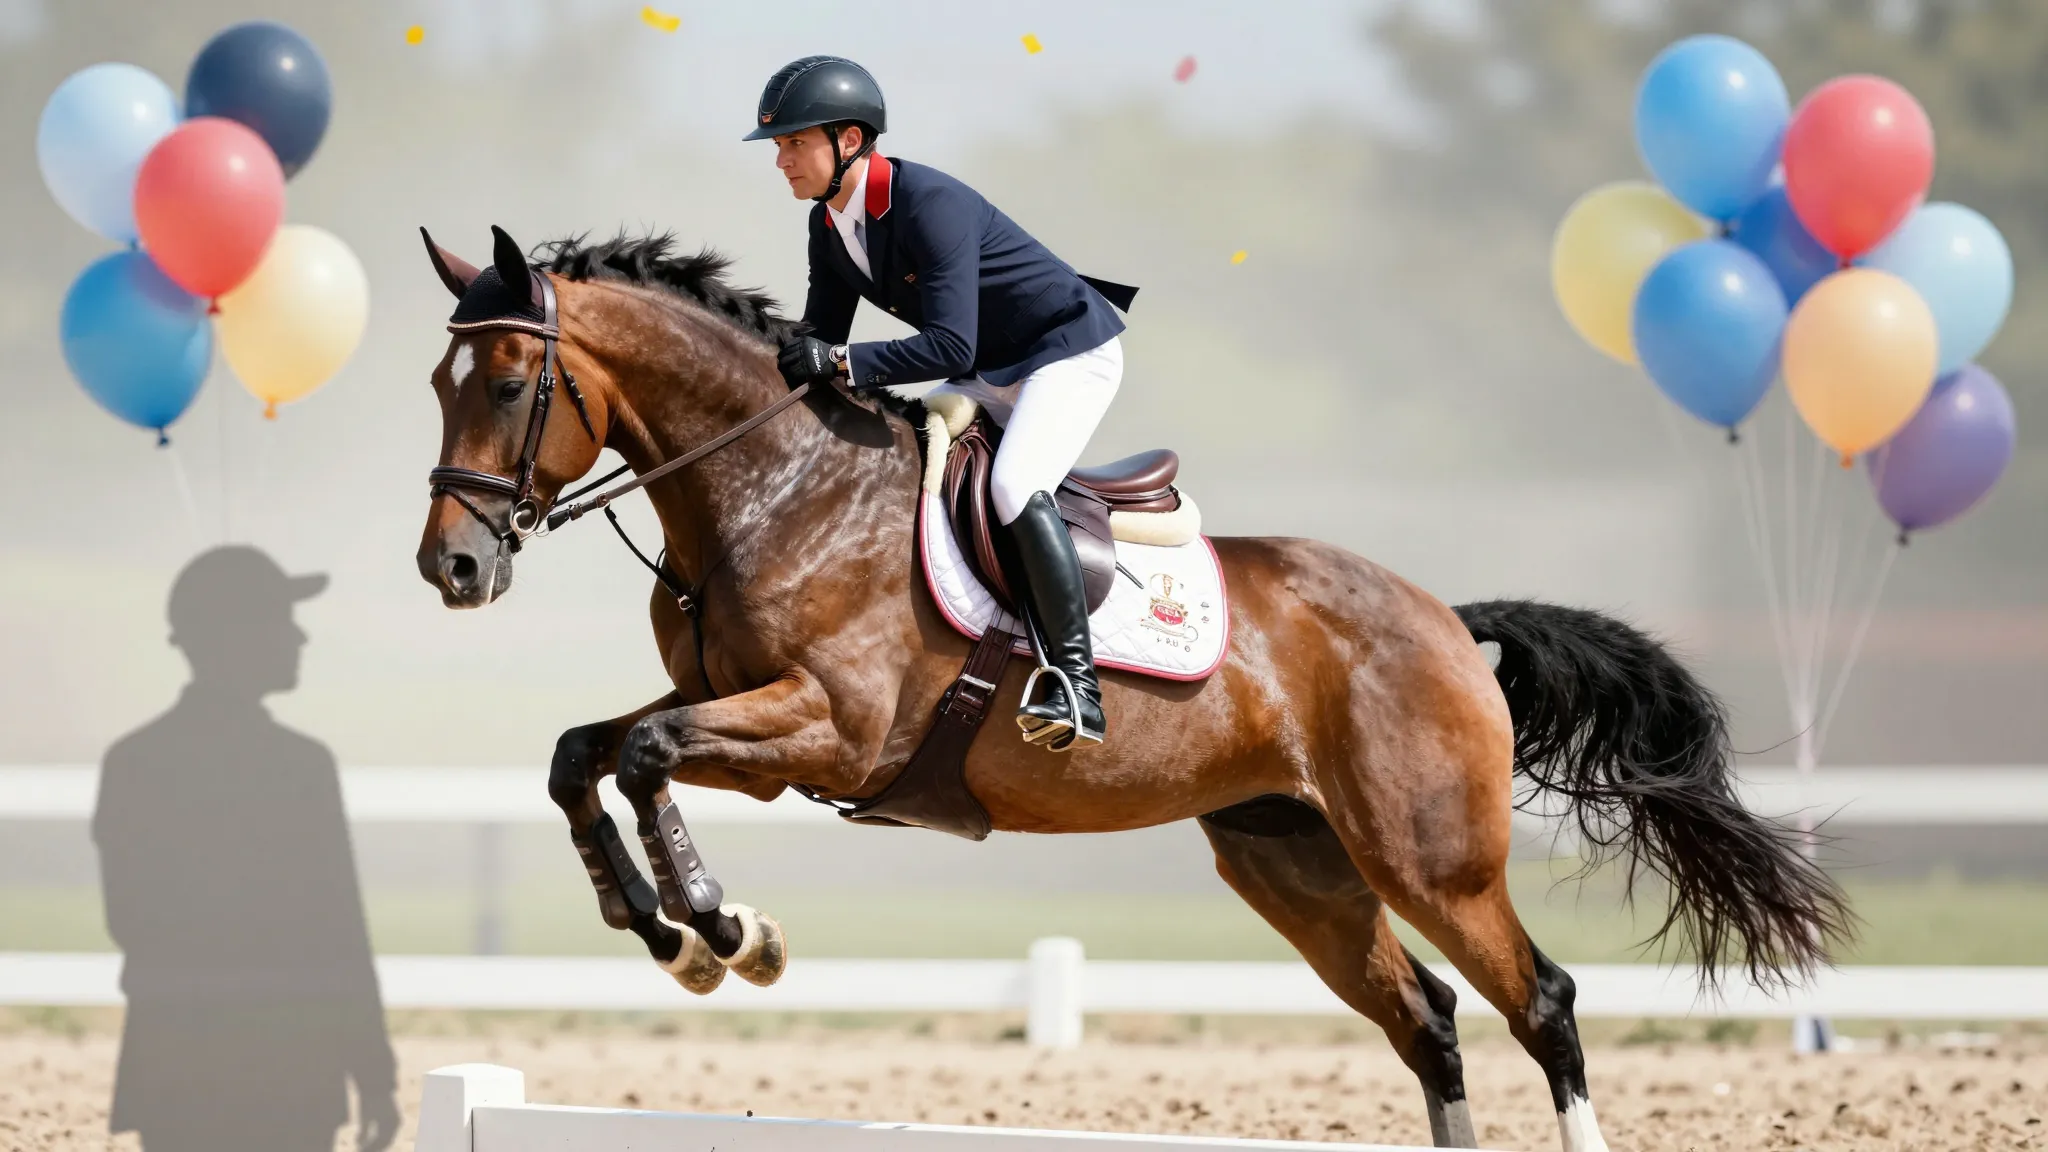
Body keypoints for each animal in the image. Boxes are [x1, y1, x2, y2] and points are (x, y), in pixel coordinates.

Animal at [412, 225, 1850, 1152]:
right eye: (439, 380)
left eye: (510, 381)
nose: (452, 565)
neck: (775, 491)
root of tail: (1446, 619)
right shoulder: (746, 718)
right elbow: (587, 753)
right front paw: (659, 927)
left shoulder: (828, 733)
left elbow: (645, 754)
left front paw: (722, 933)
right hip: (1292, 863)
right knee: (1430, 1022)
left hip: (1426, 856)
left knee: (1537, 1005)